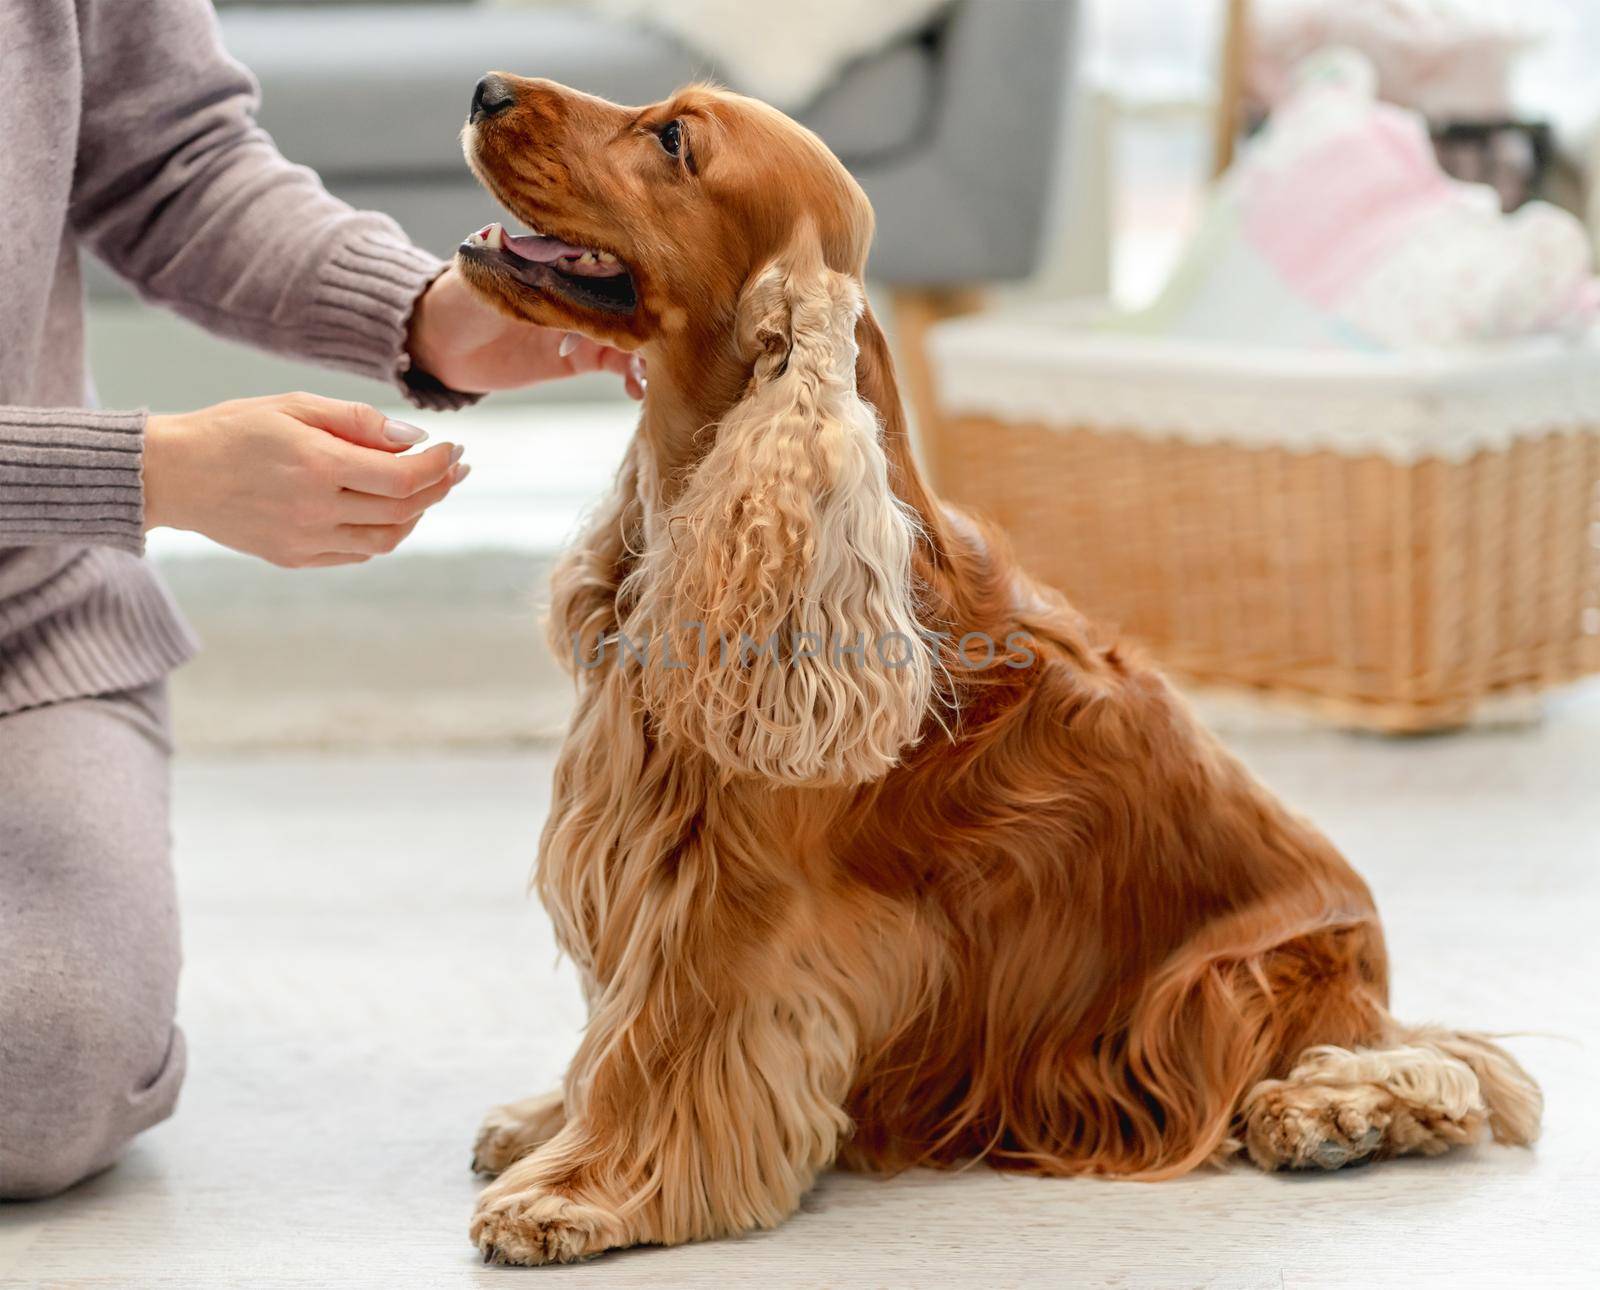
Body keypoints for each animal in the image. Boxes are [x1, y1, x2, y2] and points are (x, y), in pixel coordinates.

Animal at [451, 70, 1536, 1261]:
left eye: (675, 140)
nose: (487, 88)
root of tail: (1369, 959)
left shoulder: (728, 897)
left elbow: (660, 1043)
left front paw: (577, 1192)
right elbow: (612, 1033)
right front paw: (546, 1123)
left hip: (1241, 976)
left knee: (1440, 1067)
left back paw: (1325, 1114)